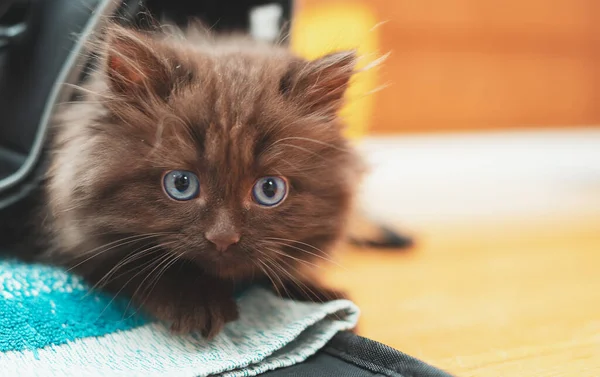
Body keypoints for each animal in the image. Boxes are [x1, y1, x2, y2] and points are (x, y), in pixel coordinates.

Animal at [41, 22, 366, 336]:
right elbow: (146, 266)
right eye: (181, 184)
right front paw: (197, 303)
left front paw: (320, 297)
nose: (223, 238)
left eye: (269, 189)